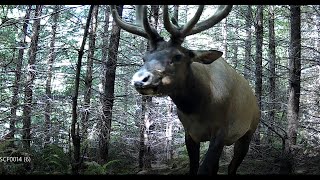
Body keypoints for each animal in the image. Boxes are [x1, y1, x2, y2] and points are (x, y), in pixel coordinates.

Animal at [110, 5, 260, 174]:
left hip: (249, 131)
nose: (140, 79)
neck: (198, 107)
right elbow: (194, 167)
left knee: (232, 167)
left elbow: (205, 169)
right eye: (144, 57)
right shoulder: (189, 133)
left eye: (177, 56)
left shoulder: (221, 131)